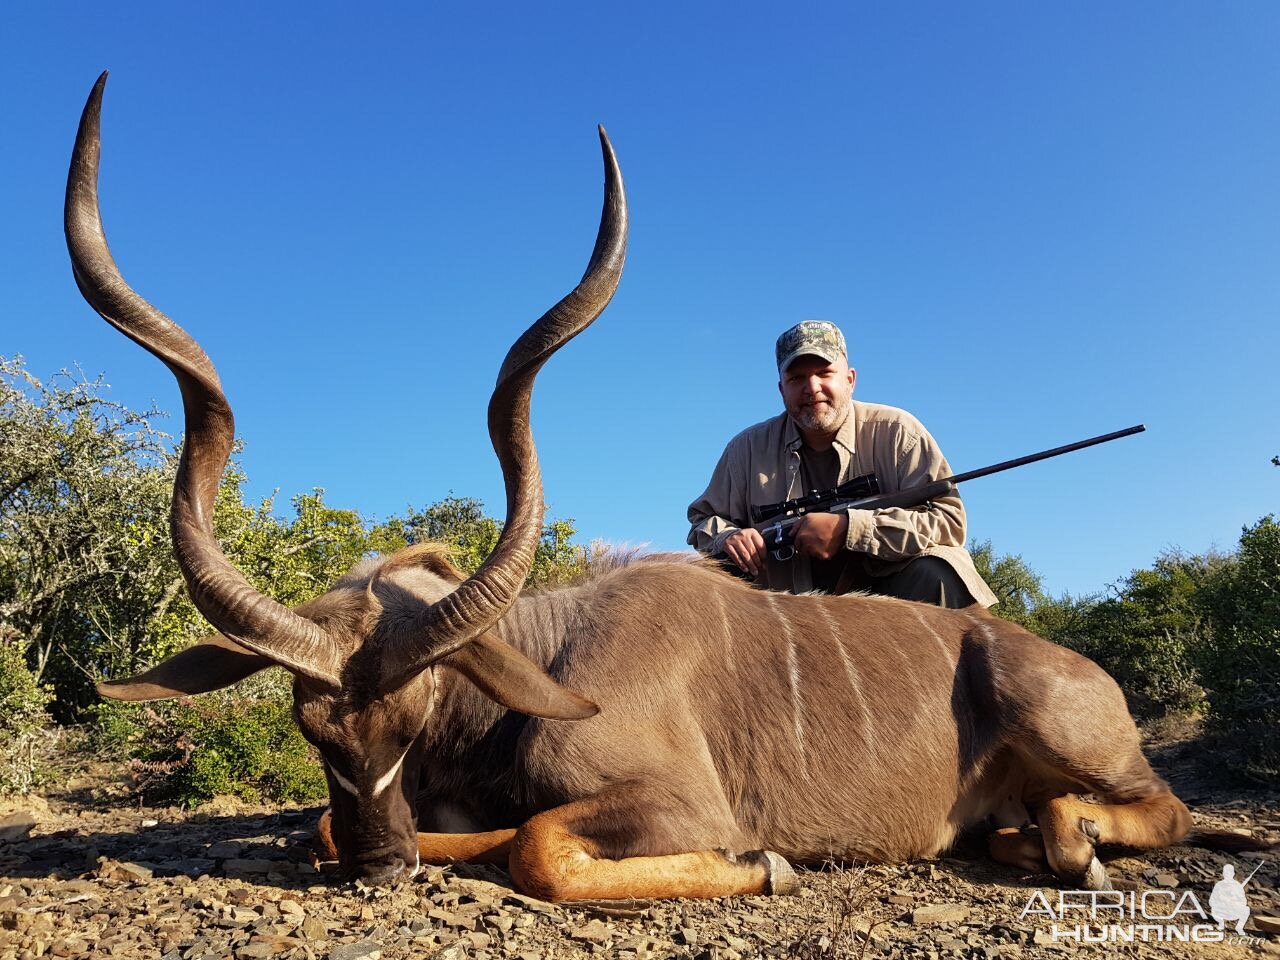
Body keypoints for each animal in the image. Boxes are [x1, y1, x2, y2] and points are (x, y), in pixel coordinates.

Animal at [67, 73, 1239, 901]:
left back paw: (1075, 840)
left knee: (1162, 810)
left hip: (1079, 742)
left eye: (413, 709)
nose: (380, 862)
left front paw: (764, 863)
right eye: (315, 730)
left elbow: (541, 847)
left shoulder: (678, 801)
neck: (540, 665)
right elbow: (360, 825)